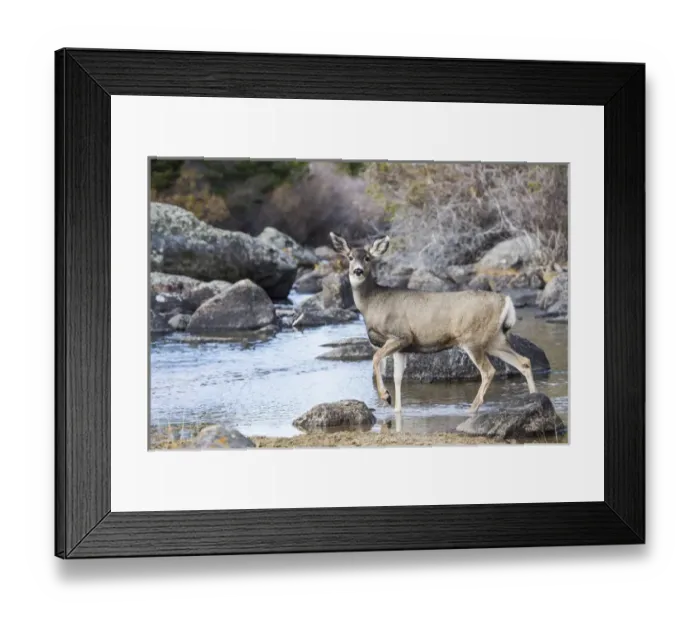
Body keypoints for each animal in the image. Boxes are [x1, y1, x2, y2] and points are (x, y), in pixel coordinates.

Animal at [329, 232, 536, 425]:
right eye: (349, 257)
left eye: (367, 258)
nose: (358, 271)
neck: (373, 302)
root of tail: (506, 300)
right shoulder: (402, 348)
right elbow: (397, 377)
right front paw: (396, 409)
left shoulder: (400, 335)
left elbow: (376, 358)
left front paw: (385, 396)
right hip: (494, 338)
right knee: (524, 361)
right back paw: (534, 398)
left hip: (472, 339)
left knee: (489, 371)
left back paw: (472, 408)